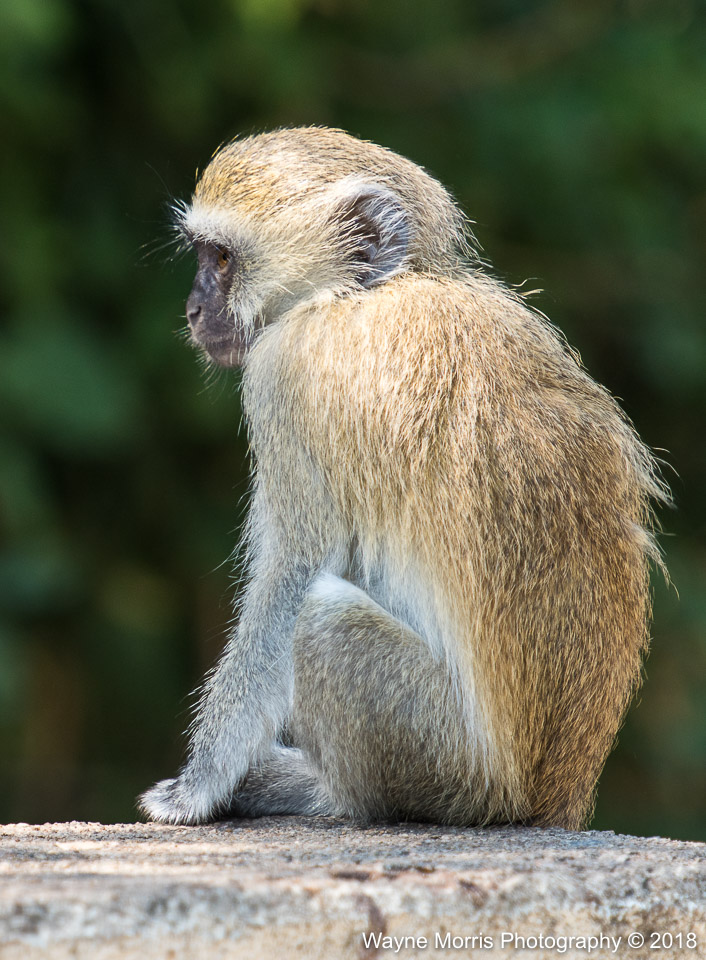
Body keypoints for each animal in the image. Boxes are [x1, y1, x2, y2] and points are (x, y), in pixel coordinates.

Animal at [139, 126, 668, 830]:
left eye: (222, 260)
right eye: (203, 256)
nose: (195, 309)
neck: (362, 294)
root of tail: (548, 795)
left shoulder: (284, 375)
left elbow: (290, 580)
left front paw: (195, 790)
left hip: (443, 756)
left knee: (321, 616)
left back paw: (327, 795)